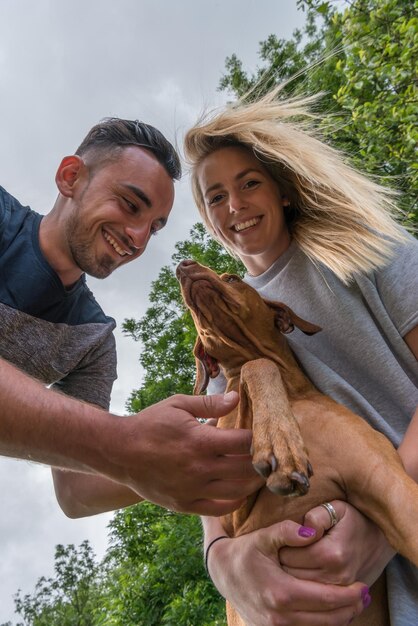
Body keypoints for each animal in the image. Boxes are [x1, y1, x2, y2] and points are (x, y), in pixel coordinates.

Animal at [176, 258, 418, 624]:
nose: (183, 265)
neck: (293, 395)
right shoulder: (230, 506)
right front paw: (282, 443)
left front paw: (280, 442)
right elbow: (258, 366)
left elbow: (258, 363)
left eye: (231, 278)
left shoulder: (386, 484)